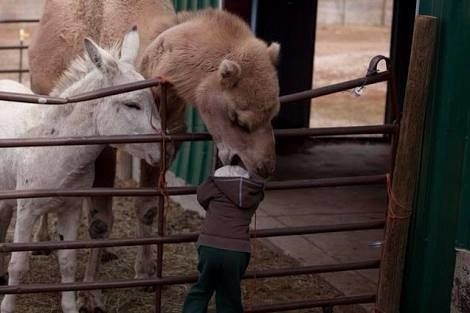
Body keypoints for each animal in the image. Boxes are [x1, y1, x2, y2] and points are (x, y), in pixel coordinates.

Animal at [0, 28, 160, 310]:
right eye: (131, 105)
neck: (57, 147)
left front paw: (70, 306)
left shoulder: (71, 208)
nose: (161, 150)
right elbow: (18, 265)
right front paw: (7, 307)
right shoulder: (27, 210)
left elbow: (68, 263)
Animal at [28, 1, 280, 310]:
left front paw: (146, 275)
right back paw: (42, 241)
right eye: (238, 118)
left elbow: (147, 208)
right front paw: (90, 295)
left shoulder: (166, 141)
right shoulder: (103, 144)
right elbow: (101, 221)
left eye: (274, 113)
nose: (265, 166)